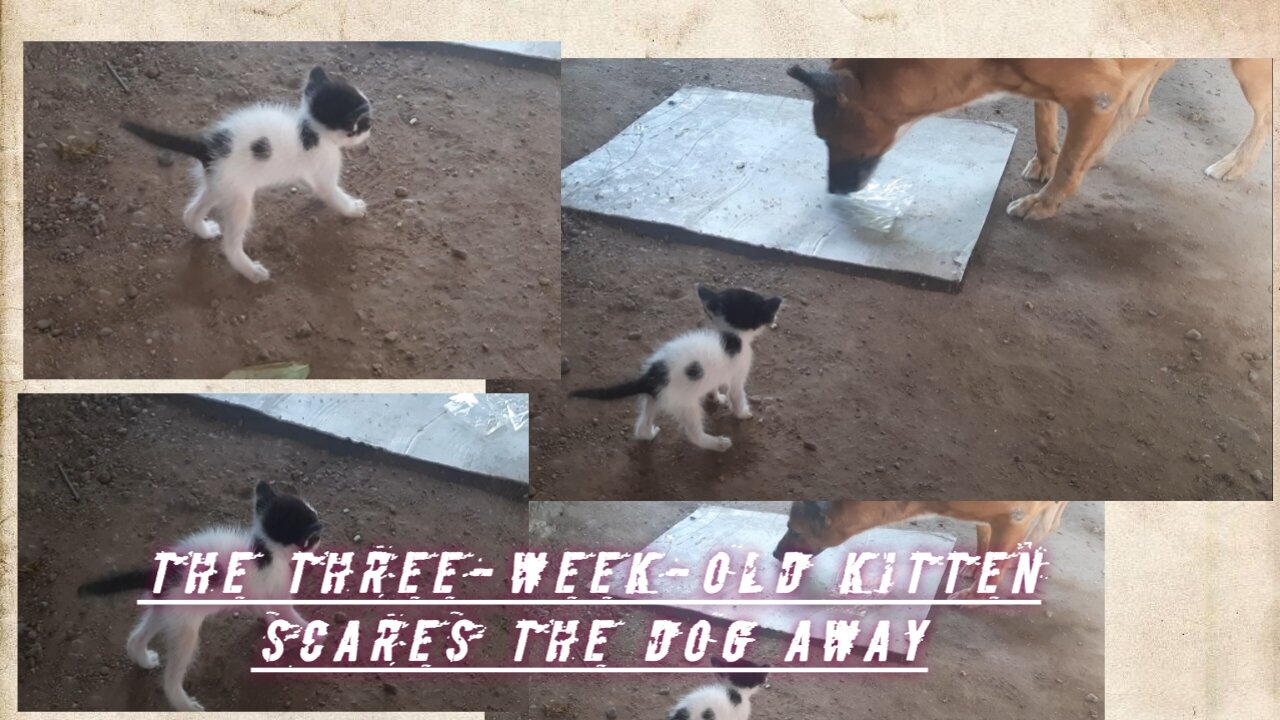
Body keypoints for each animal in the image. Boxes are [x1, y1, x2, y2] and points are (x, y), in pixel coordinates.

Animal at [78, 479, 322, 707]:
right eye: (313, 534)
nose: (321, 526)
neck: (266, 550)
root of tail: (164, 572)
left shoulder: (255, 591)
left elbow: (261, 606)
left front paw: (267, 619)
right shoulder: (276, 589)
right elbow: (289, 614)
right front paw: (311, 631)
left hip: (166, 611)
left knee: (136, 637)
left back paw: (143, 659)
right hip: (184, 629)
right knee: (170, 679)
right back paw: (184, 704)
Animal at [120, 65, 371, 283]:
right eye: (364, 122)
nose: (370, 127)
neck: (311, 130)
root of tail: (207, 147)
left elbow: (313, 185)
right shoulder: (324, 170)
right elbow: (333, 194)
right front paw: (352, 208)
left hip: (220, 186)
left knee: (190, 213)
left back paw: (203, 230)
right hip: (239, 200)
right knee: (230, 245)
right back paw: (250, 271)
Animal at [570, 284, 778, 448]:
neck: (732, 335)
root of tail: (651, 375)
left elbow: (713, 387)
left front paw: (716, 397)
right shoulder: (737, 377)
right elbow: (737, 396)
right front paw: (743, 413)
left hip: (656, 398)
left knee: (642, 426)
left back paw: (649, 433)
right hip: (686, 405)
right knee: (694, 435)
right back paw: (717, 444)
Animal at [773, 499, 1064, 594]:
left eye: (794, 529)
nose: (774, 553)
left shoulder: (1017, 516)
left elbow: (996, 564)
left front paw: (976, 595)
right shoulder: (985, 518)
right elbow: (985, 538)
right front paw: (977, 567)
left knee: (1048, 523)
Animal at [788, 58, 1269, 219]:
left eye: (824, 135)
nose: (832, 192)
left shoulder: (1096, 96)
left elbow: (1070, 162)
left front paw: (1046, 202)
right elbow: (1045, 124)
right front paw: (1045, 161)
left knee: (1267, 115)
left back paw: (1236, 163)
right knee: (1138, 105)